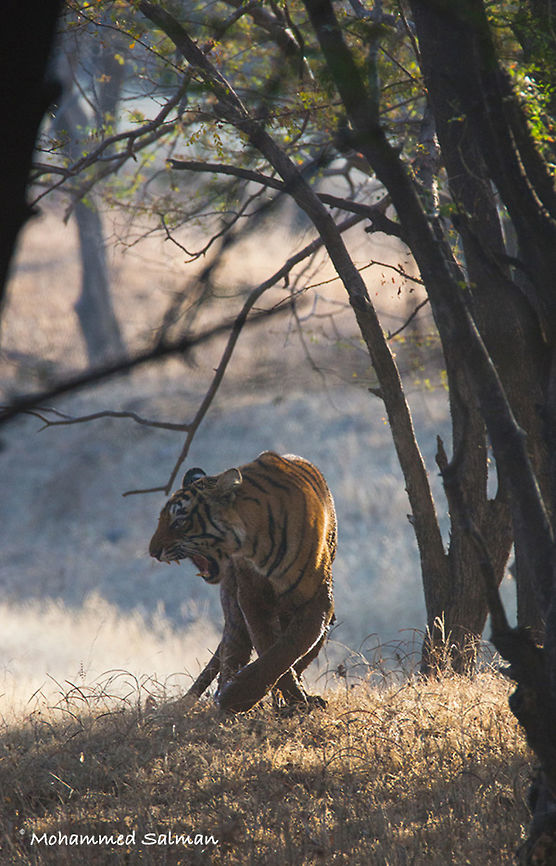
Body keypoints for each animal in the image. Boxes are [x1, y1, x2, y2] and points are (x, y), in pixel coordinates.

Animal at [149, 451, 336, 713]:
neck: (255, 543)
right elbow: (270, 649)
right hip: (233, 605)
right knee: (233, 650)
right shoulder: (252, 598)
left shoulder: (317, 600)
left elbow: (289, 648)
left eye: (178, 522)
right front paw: (240, 697)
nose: (153, 551)